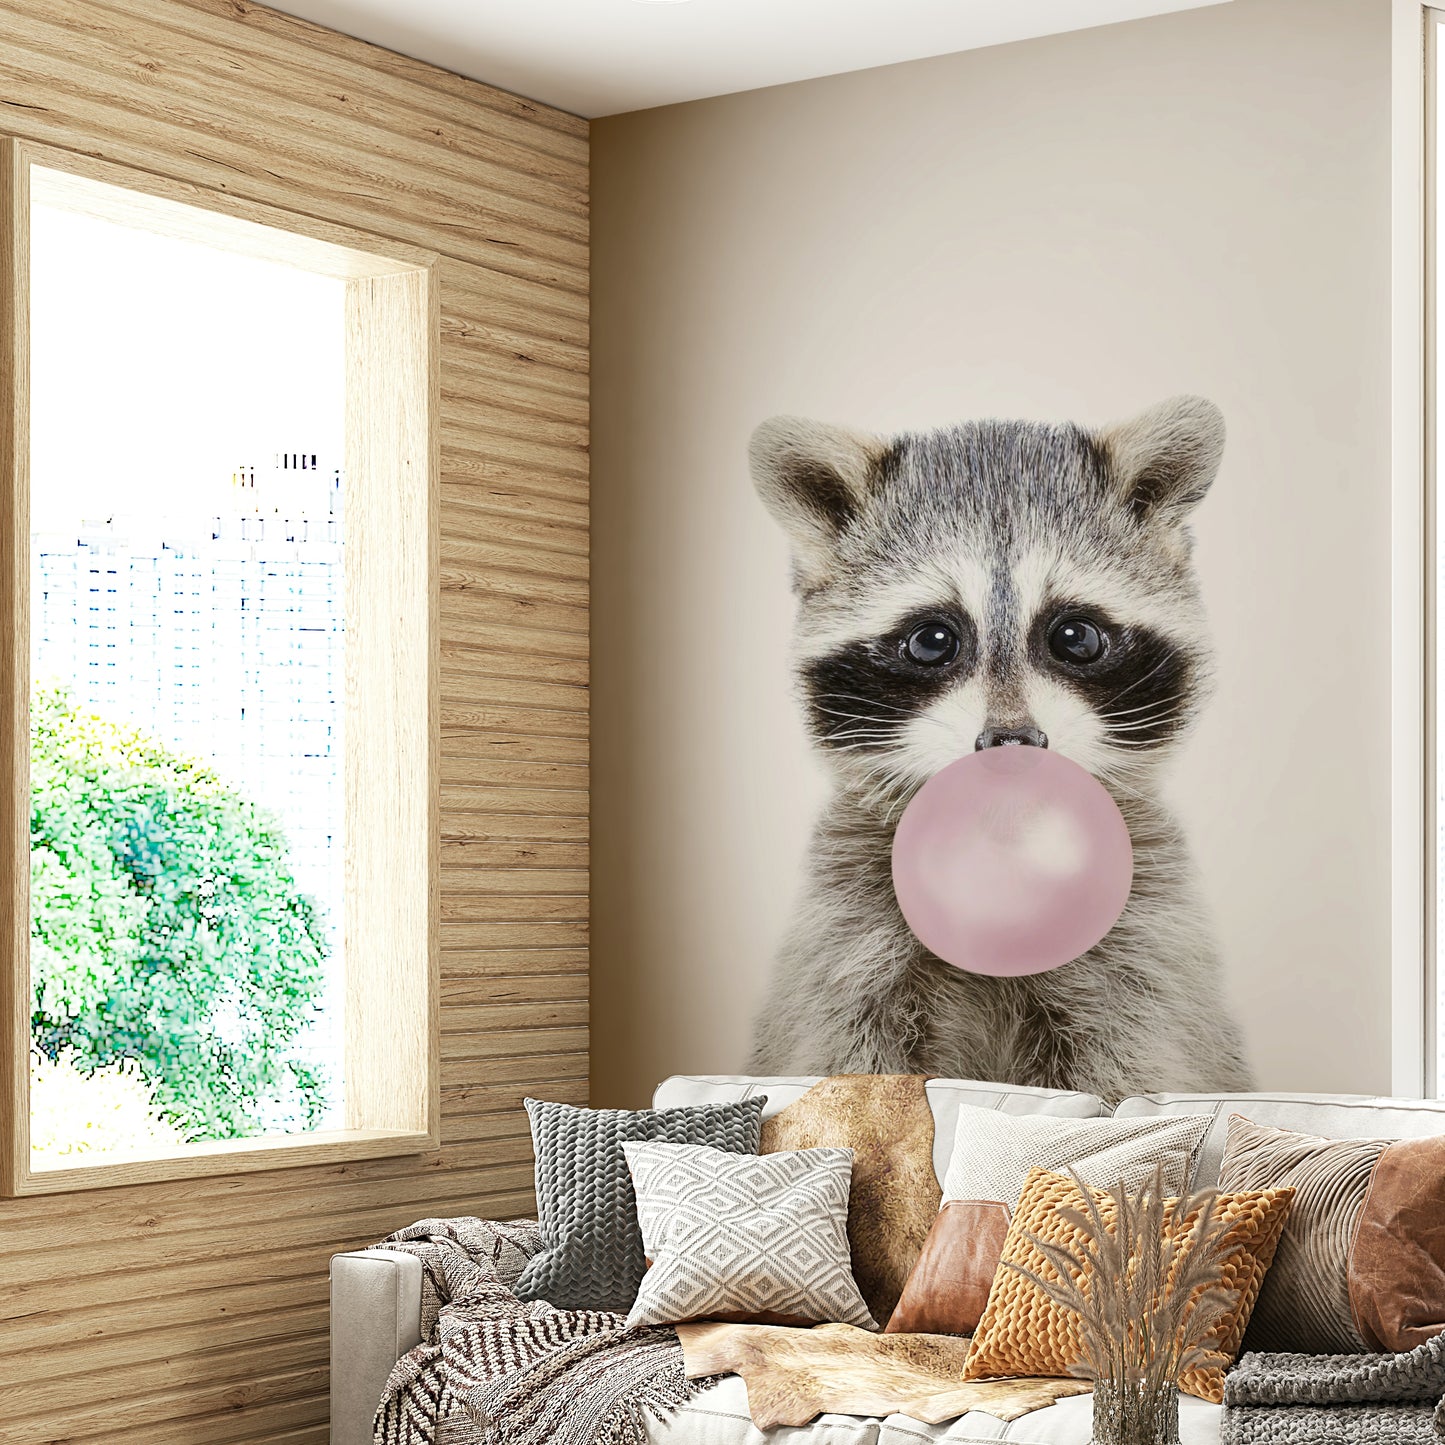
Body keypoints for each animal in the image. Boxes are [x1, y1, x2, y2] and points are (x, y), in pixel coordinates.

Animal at [746, 396, 1254, 1101]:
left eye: (1075, 636)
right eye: (932, 640)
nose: (1012, 742)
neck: (1003, 841)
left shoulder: (1141, 944)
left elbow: (1133, 1060)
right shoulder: (850, 938)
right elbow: (844, 1049)